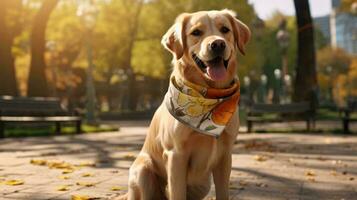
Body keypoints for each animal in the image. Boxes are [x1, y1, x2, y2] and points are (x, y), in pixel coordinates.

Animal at [116, 9, 248, 200]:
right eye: (196, 32)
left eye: (225, 29)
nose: (217, 44)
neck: (208, 94)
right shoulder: (176, 154)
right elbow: (177, 192)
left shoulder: (225, 155)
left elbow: (223, 193)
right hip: (142, 170)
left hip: (203, 184)